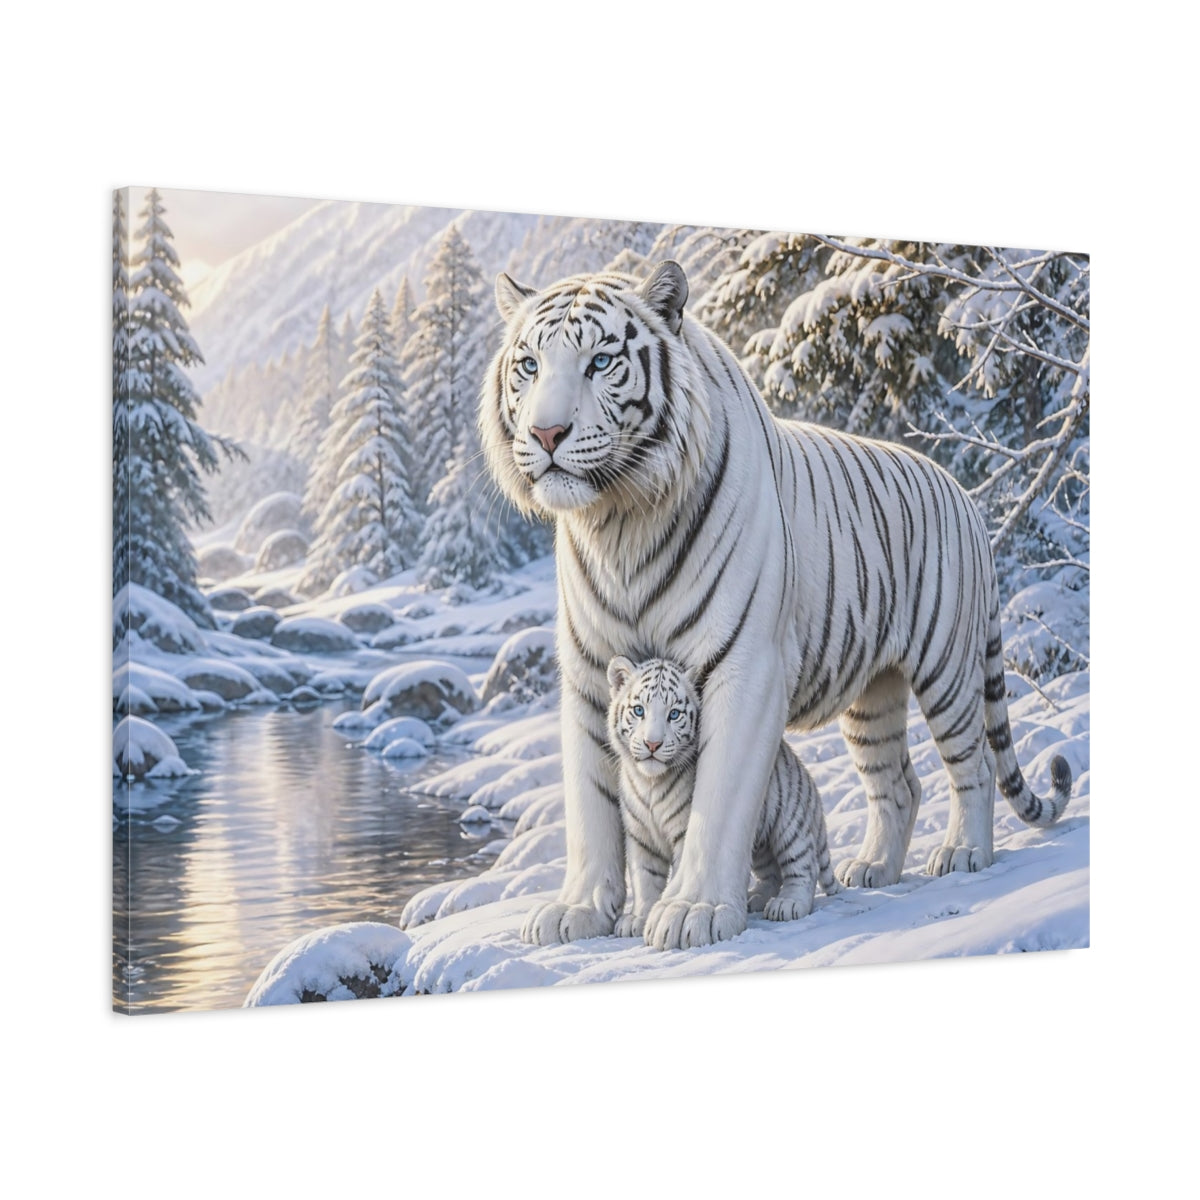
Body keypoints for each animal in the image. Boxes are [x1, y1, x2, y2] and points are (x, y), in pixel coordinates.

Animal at [606, 655, 839, 940]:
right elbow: (644, 880)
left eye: (674, 714)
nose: (652, 744)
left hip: (790, 826)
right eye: (639, 710)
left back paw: (788, 904)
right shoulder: (640, 837)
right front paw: (638, 918)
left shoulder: (683, 832)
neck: (650, 782)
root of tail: (808, 780)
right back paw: (756, 899)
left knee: (804, 867)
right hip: (759, 844)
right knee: (771, 872)